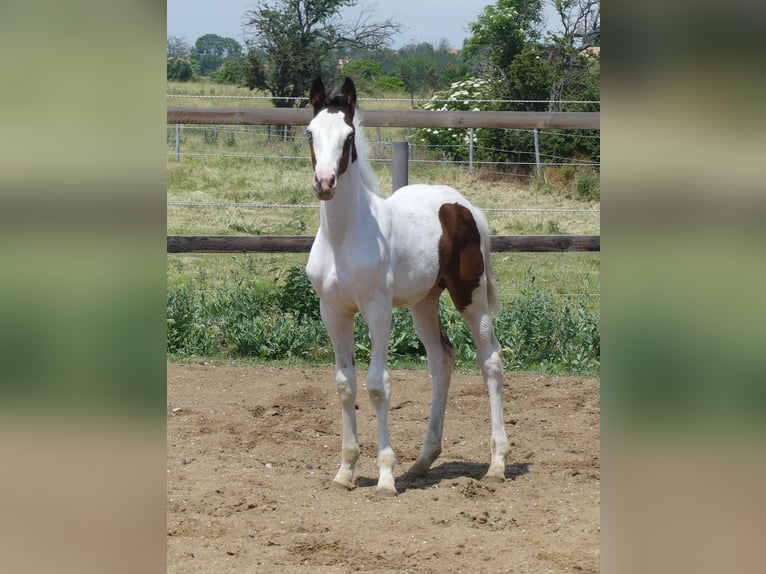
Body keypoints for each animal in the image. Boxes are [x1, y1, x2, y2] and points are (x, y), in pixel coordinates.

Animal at [305, 76, 510, 496]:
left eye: (349, 136)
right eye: (310, 133)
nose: (325, 183)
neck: (344, 236)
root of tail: (465, 207)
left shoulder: (378, 310)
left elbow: (376, 385)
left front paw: (385, 476)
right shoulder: (332, 311)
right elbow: (345, 384)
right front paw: (345, 471)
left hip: (470, 297)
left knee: (491, 360)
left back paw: (497, 463)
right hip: (423, 302)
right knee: (442, 359)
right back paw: (423, 460)